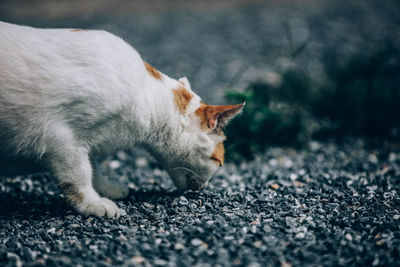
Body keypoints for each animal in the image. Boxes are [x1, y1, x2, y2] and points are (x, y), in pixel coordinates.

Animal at [0, 21, 244, 220]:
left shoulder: (84, 143)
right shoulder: (62, 139)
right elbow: (80, 174)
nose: (204, 188)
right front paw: (92, 203)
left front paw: (105, 188)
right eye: (218, 161)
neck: (146, 95)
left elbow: (93, 166)